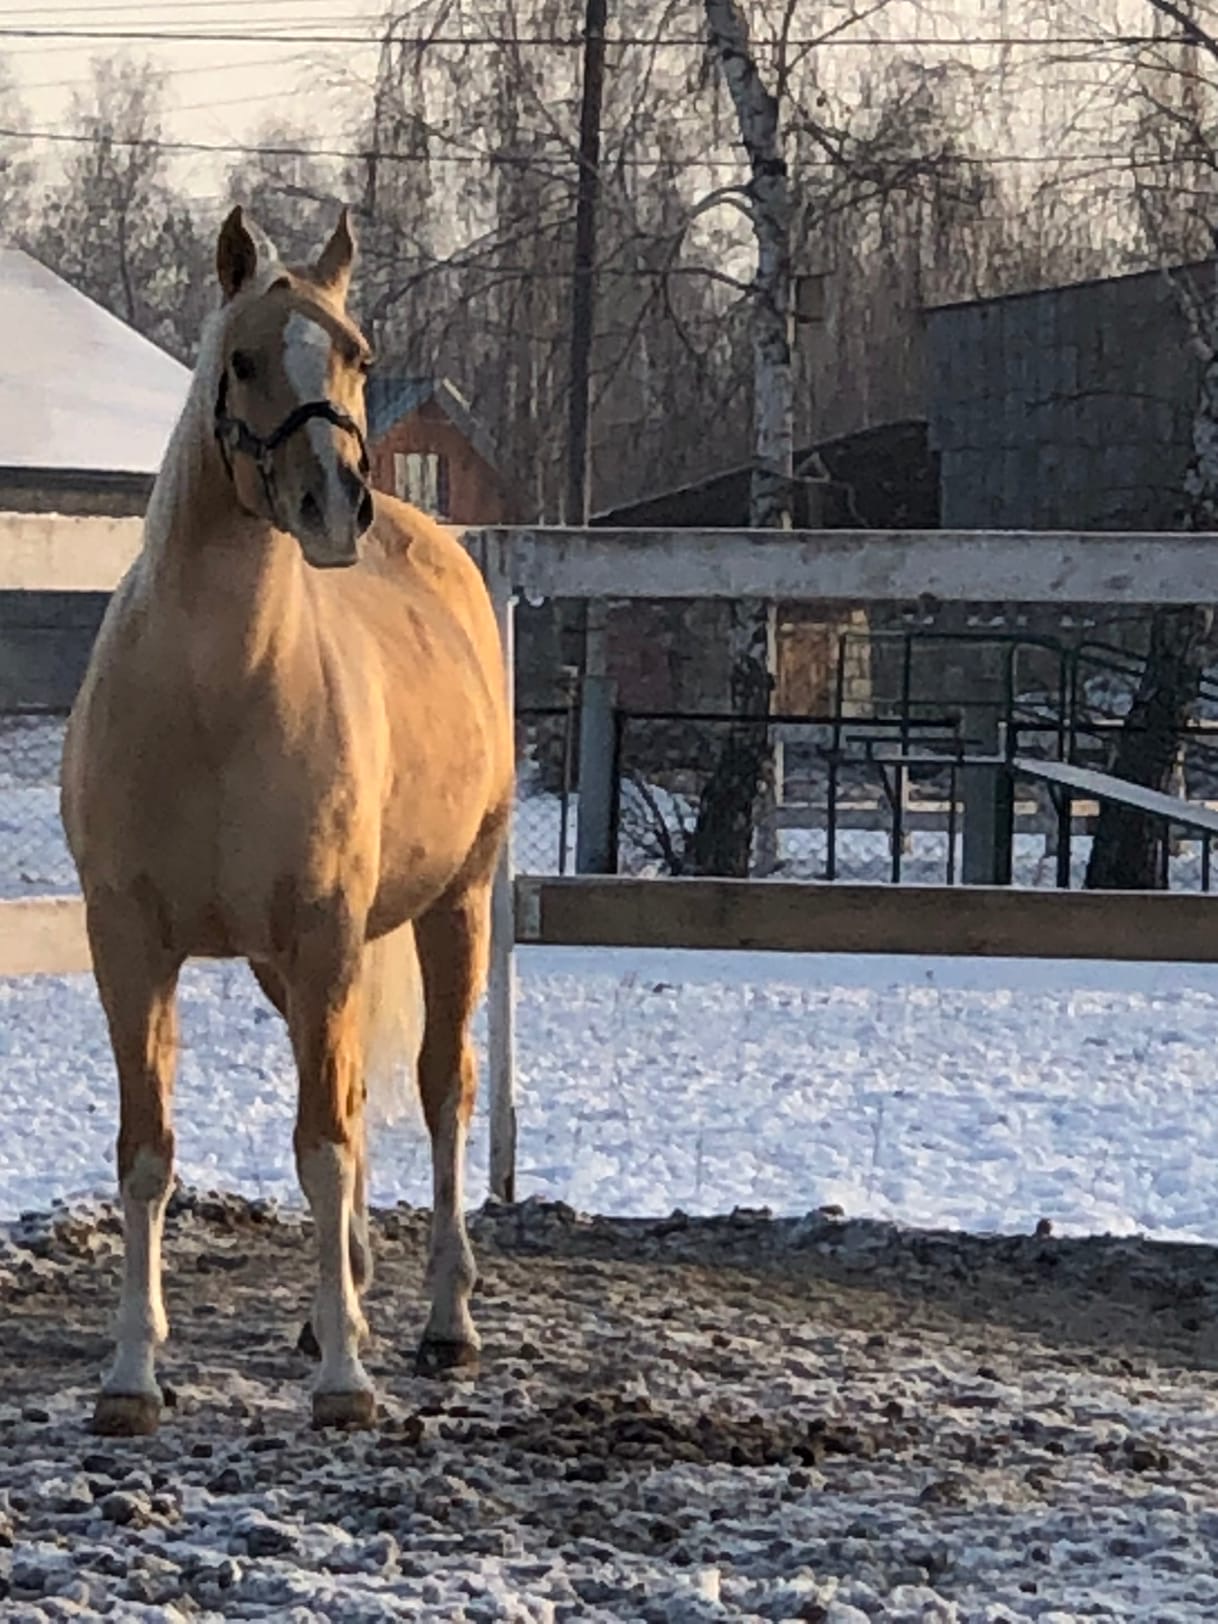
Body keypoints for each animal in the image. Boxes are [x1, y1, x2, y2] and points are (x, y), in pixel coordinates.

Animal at [61, 205, 514, 1434]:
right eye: (244, 362)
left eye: (357, 354)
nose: (334, 507)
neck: (217, 701)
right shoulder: (132, 944)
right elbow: (147, 1153)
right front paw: (132, 1377)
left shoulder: (324, 933)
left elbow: (325, 1145)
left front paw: (346, 1382)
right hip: (295, 962)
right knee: (358, 1090)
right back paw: (336, 1302)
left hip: (454, 907)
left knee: (440, 1090)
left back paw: (442, 1322)